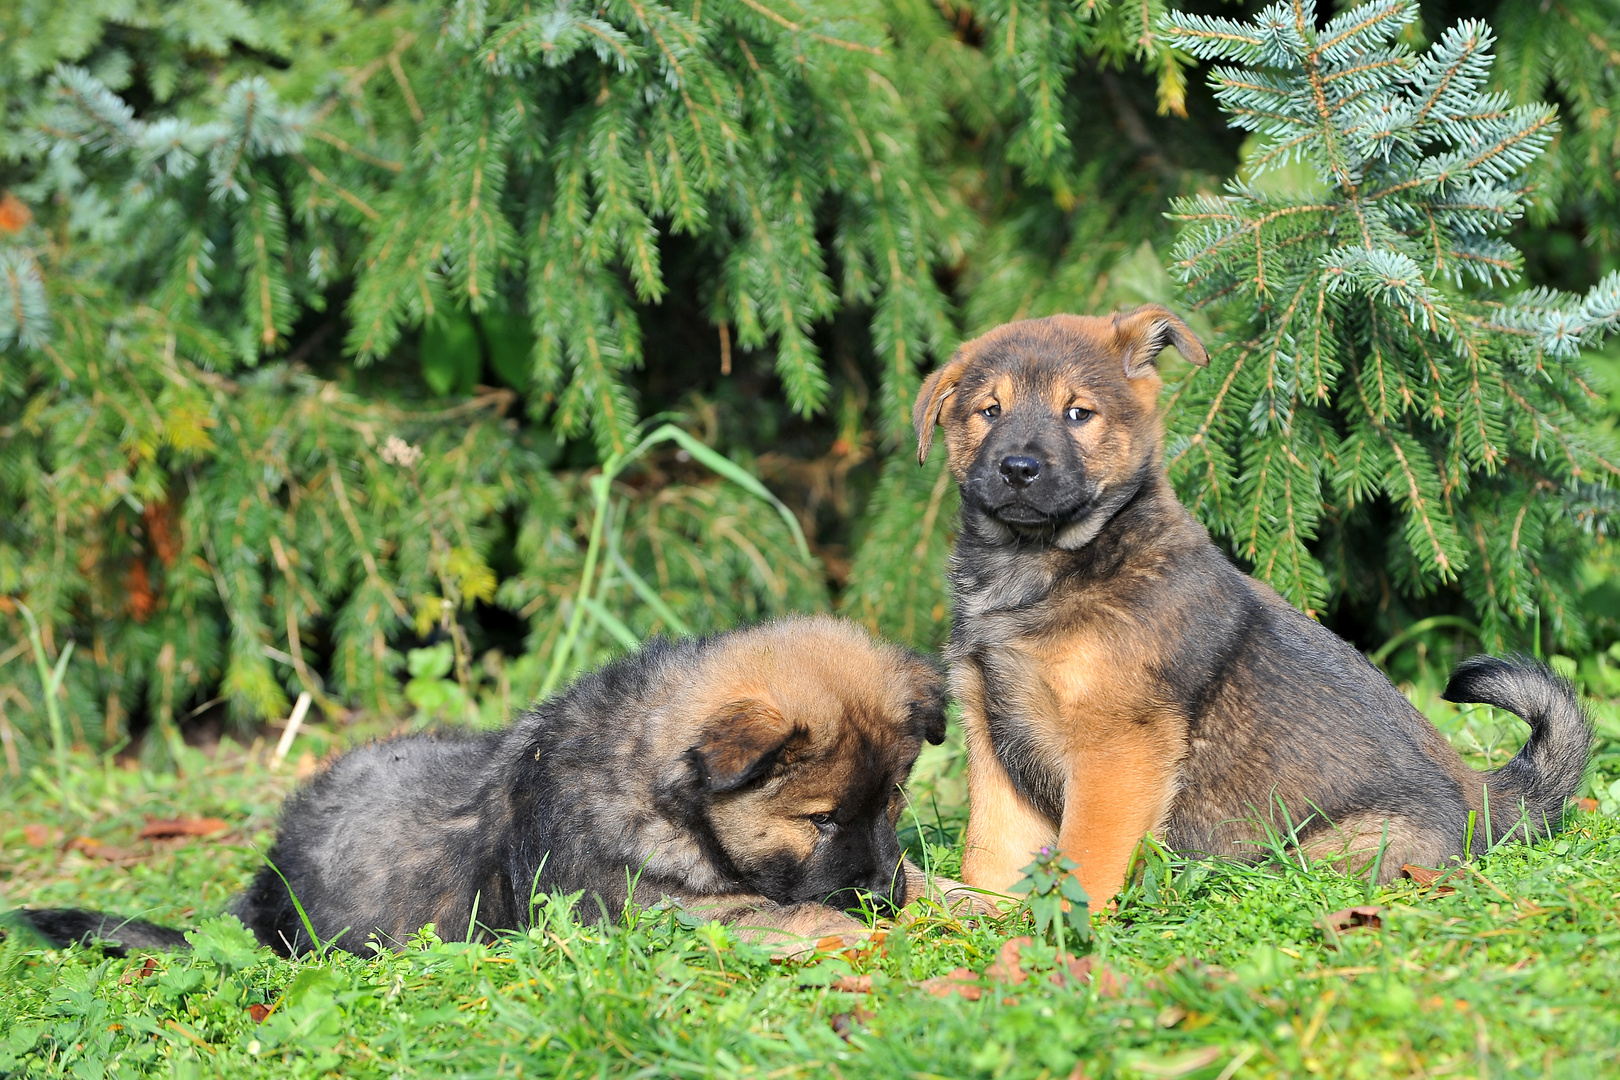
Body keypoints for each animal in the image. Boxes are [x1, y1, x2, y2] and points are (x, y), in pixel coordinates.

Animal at [22, 615, 959, 952]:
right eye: (819, 819)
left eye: (895, 801)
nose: (879, 895)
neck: (663, 786)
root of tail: (266, 888)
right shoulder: (667, 914)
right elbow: (796, 913)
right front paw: (877, 937)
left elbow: (932, 877)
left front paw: (963, 899)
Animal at [913, 304, 1594, 906]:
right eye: (989, 411)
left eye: (1078, 413)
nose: (1017, 468)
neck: (1040, 568)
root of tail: (1483, 800)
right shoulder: (992, 731)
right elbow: (991, 849)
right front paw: (983, 914)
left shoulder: (1118, 747)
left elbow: (1087, 855)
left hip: (1334, 849)